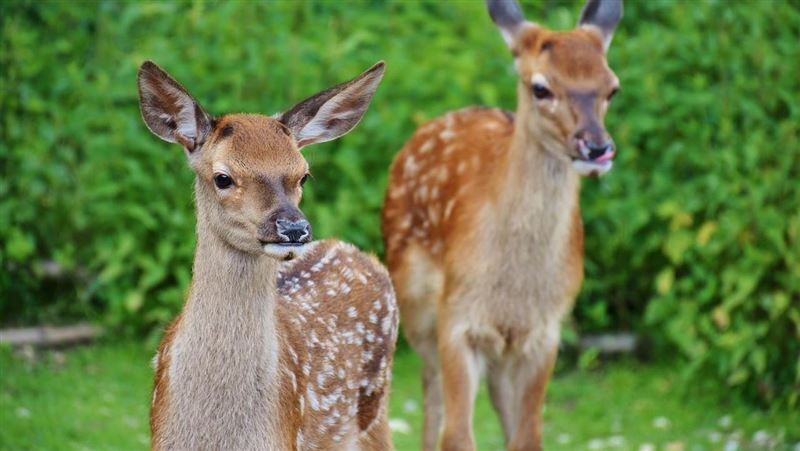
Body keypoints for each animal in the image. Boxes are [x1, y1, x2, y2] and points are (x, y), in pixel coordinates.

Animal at [381, 0, 623, 449]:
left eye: (611, 87)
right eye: (541, 87)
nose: (597, 147)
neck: (513, 287)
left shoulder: (545, 331)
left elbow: (528, 436)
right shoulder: (458, 318)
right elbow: (457, 435)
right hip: (414, 300)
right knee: (429, 387)